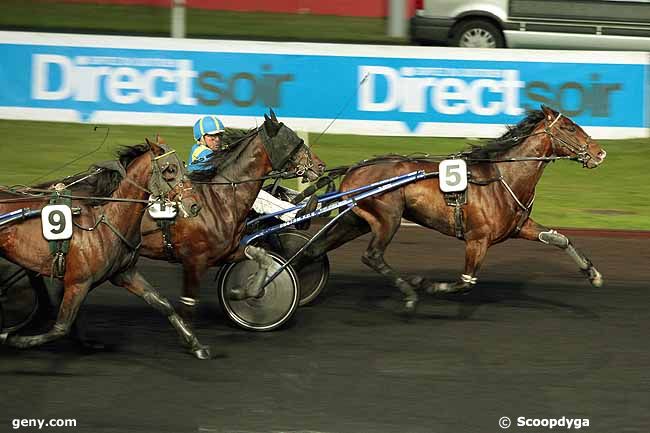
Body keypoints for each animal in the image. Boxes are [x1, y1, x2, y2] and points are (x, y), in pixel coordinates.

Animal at [0, 139, 208, 358]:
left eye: (183, 165)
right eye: (170, 169)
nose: (194, 206)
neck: (108, 220)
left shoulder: (124, 273)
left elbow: (163, 304)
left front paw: (195, 344)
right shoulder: (78, 282)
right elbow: (61, 327)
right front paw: (15, 339)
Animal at [298, 106, 608, 312]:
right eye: (569, 127)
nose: (600, 153)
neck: (503, 178)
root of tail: (354, 168)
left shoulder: (520, 228)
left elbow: (560, 239)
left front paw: (592, 274)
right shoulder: (477, 240)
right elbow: (467, 282)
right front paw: (427, 285)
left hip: (356, 219)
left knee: (315, 250)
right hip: (388, 217)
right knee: (372, 255)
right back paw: (409, 293)